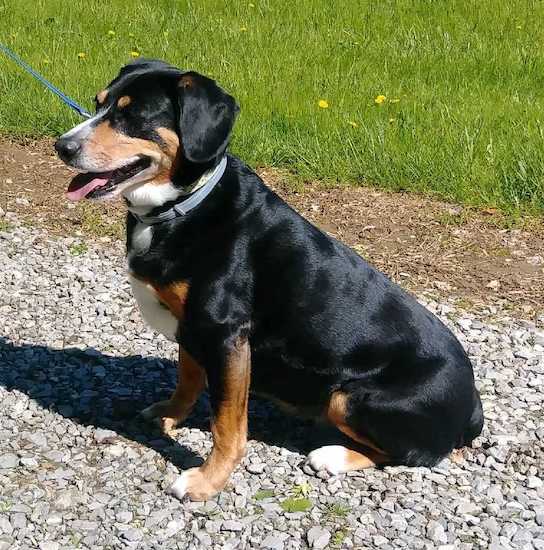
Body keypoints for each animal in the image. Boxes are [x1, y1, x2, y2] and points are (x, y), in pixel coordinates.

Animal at [53, 60, 482, 504]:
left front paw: (207, 480)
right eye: (98, 104)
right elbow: (187, 380)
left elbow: (227, 423)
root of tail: (472, 407)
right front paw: (170, 415)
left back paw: (332, 456)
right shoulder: (192, 328)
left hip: (349, 398)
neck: (182, 207)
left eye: (133, 115)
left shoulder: (226, 335)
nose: (62, 146)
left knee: (414, 455)